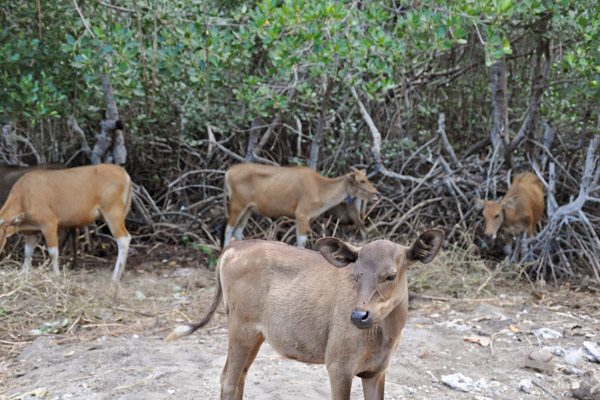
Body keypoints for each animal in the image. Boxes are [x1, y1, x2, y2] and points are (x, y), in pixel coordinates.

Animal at [0, 162, 132, 282]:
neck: (24, 196)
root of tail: (123, 173)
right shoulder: (31, 231)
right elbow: (28, 252)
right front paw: (23, 273)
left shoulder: (49, 225)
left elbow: (53, 252)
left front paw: (56, 275)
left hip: (112, 214)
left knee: (123, 239)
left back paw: (115, 277)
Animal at [169, 230, 446, 398]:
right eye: (356, 275)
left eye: (391, 275)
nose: (359, 316)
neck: (385, 336)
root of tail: (234, 246)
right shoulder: (338, 366)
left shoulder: (376, 372)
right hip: (240, 327)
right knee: (228, 380)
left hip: (256, 334)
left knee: (237, 378)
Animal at [220, 162, 380, 247]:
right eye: (361, 181)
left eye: (367, 178)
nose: (377, 194)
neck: (320, 187)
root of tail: (229, 171)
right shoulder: (302, 215)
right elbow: (302, 240)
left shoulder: (303, 218)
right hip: (237, 205)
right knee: (228, 229)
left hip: (248, 209)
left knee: (238, 230)